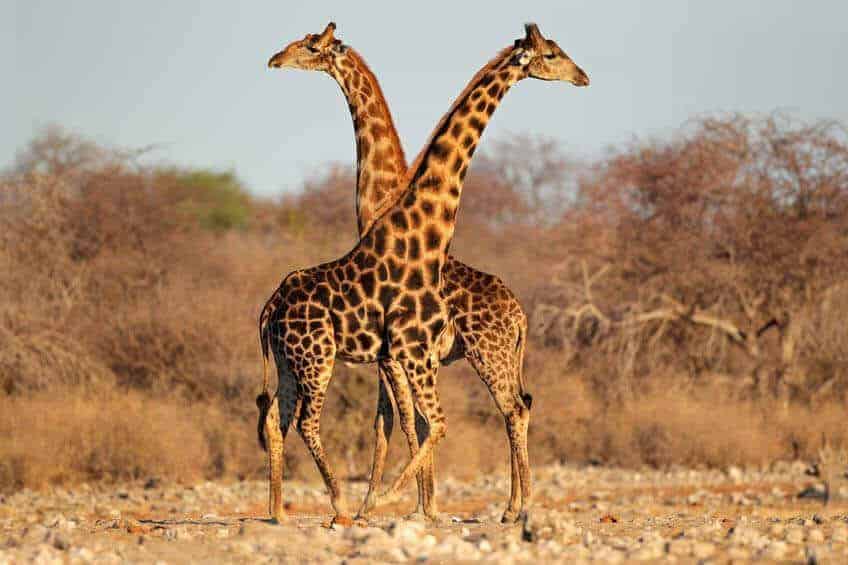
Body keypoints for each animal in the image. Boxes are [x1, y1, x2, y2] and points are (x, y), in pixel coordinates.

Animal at [257, 23, 589, 525]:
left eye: (309, 45)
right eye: (551, 53)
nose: (582, 76)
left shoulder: (403, 354)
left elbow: (406, 422)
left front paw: (410, 505)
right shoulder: (400, 353)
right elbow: (407, 422)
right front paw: (406, 504)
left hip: (470, 355)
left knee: (514, 407)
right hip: (314, 357)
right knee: (296, 420)